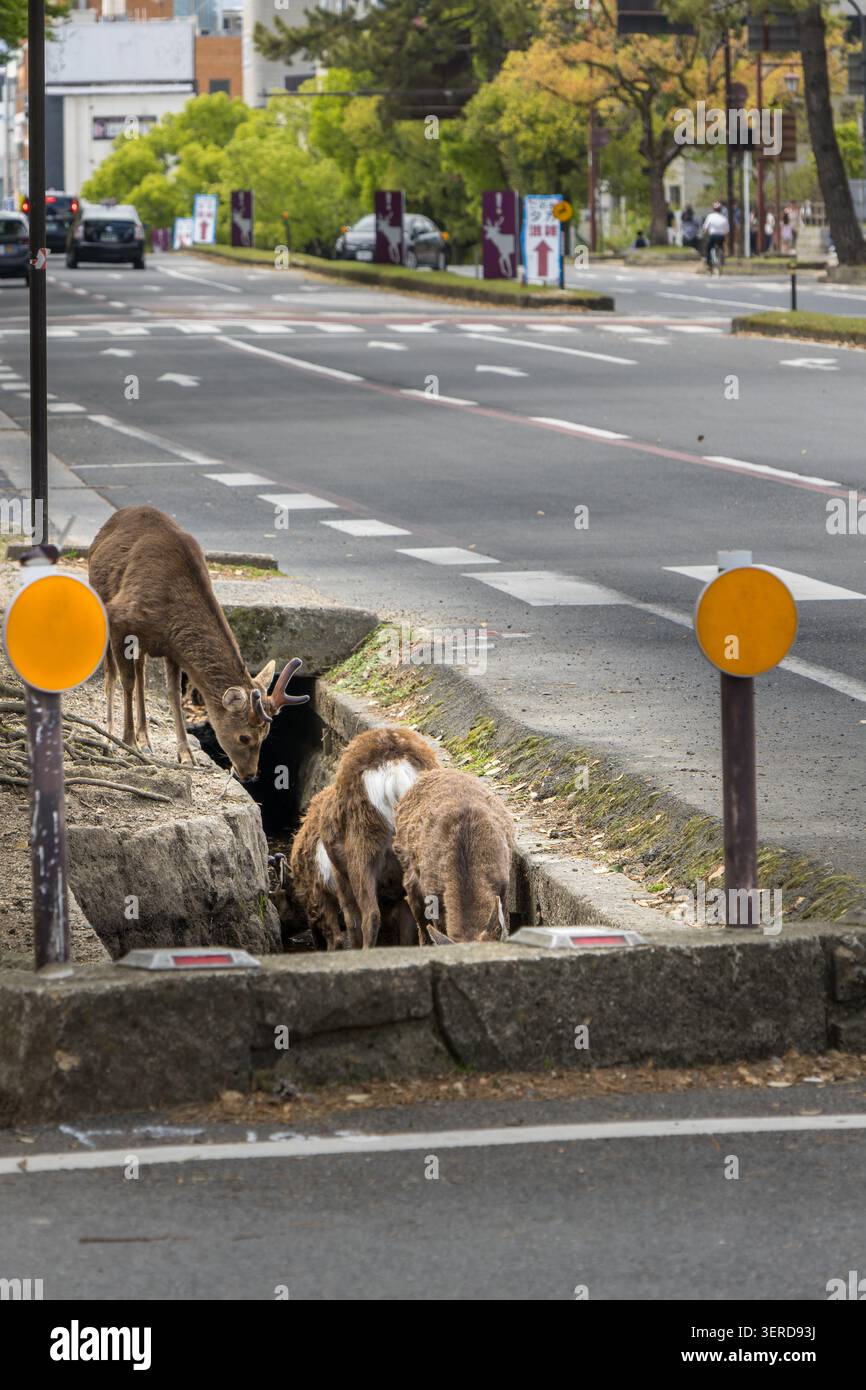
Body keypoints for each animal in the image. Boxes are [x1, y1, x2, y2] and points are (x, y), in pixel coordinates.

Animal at [88, 506, 308, 781]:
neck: (170, 618)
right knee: (112, 672)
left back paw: (145, 740)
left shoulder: (171, 649)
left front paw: (186, 756)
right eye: (244, 737)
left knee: (140, 673)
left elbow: (173, 695)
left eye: (266, 736)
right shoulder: (120, 619)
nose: (249, 775)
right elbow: (125, 681)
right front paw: (128, 744)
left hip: (143, 644)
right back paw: (110, 735)